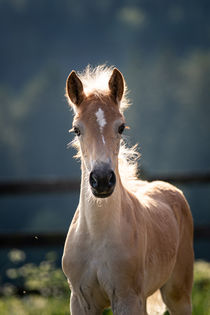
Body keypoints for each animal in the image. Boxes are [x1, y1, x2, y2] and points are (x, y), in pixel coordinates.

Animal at [62, 65, 194, 314]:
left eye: (121, 127)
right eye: (76, 129)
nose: (102, 180)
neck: (97, 236)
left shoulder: (128, 298)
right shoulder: (81, 301)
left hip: (178, 293)